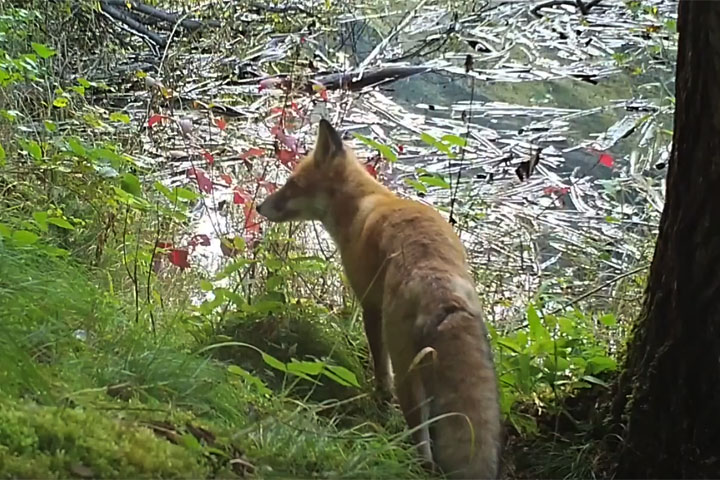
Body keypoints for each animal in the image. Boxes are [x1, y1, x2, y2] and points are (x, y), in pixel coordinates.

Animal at [258, 119, 500, 476]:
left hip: (408, 374)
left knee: (420, 434)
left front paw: (379, 397)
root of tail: (441, 287)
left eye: (292, 184)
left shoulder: (369, 305)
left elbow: (378, 366)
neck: (364, 202)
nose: (260, 207)